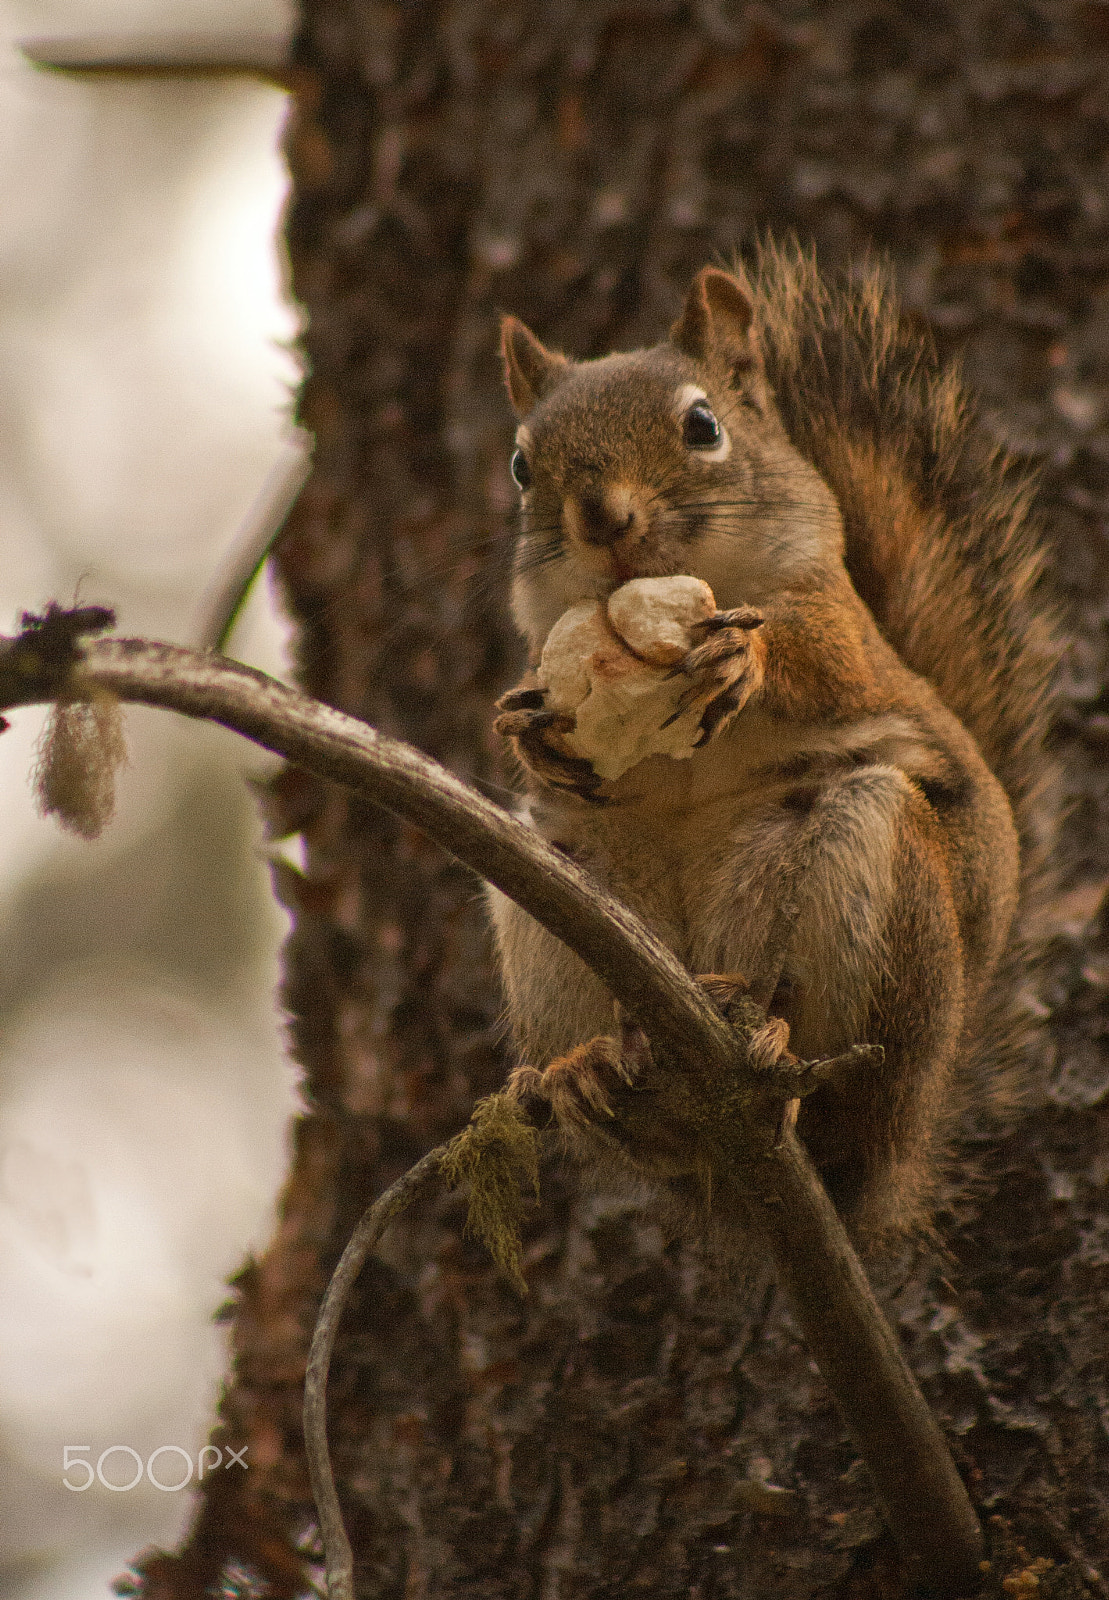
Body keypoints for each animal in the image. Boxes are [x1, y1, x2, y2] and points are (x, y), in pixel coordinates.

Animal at [487, 240, 1059, 1242]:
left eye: (702, 426)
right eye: (521, 466)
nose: (601, 517)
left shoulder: (841, 626)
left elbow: (820, 662)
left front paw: (743, 655)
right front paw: (531, 734)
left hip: (880, 888)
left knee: (845, 1097)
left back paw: (780, 1053)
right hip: (553, 904)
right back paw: (588, 1075)